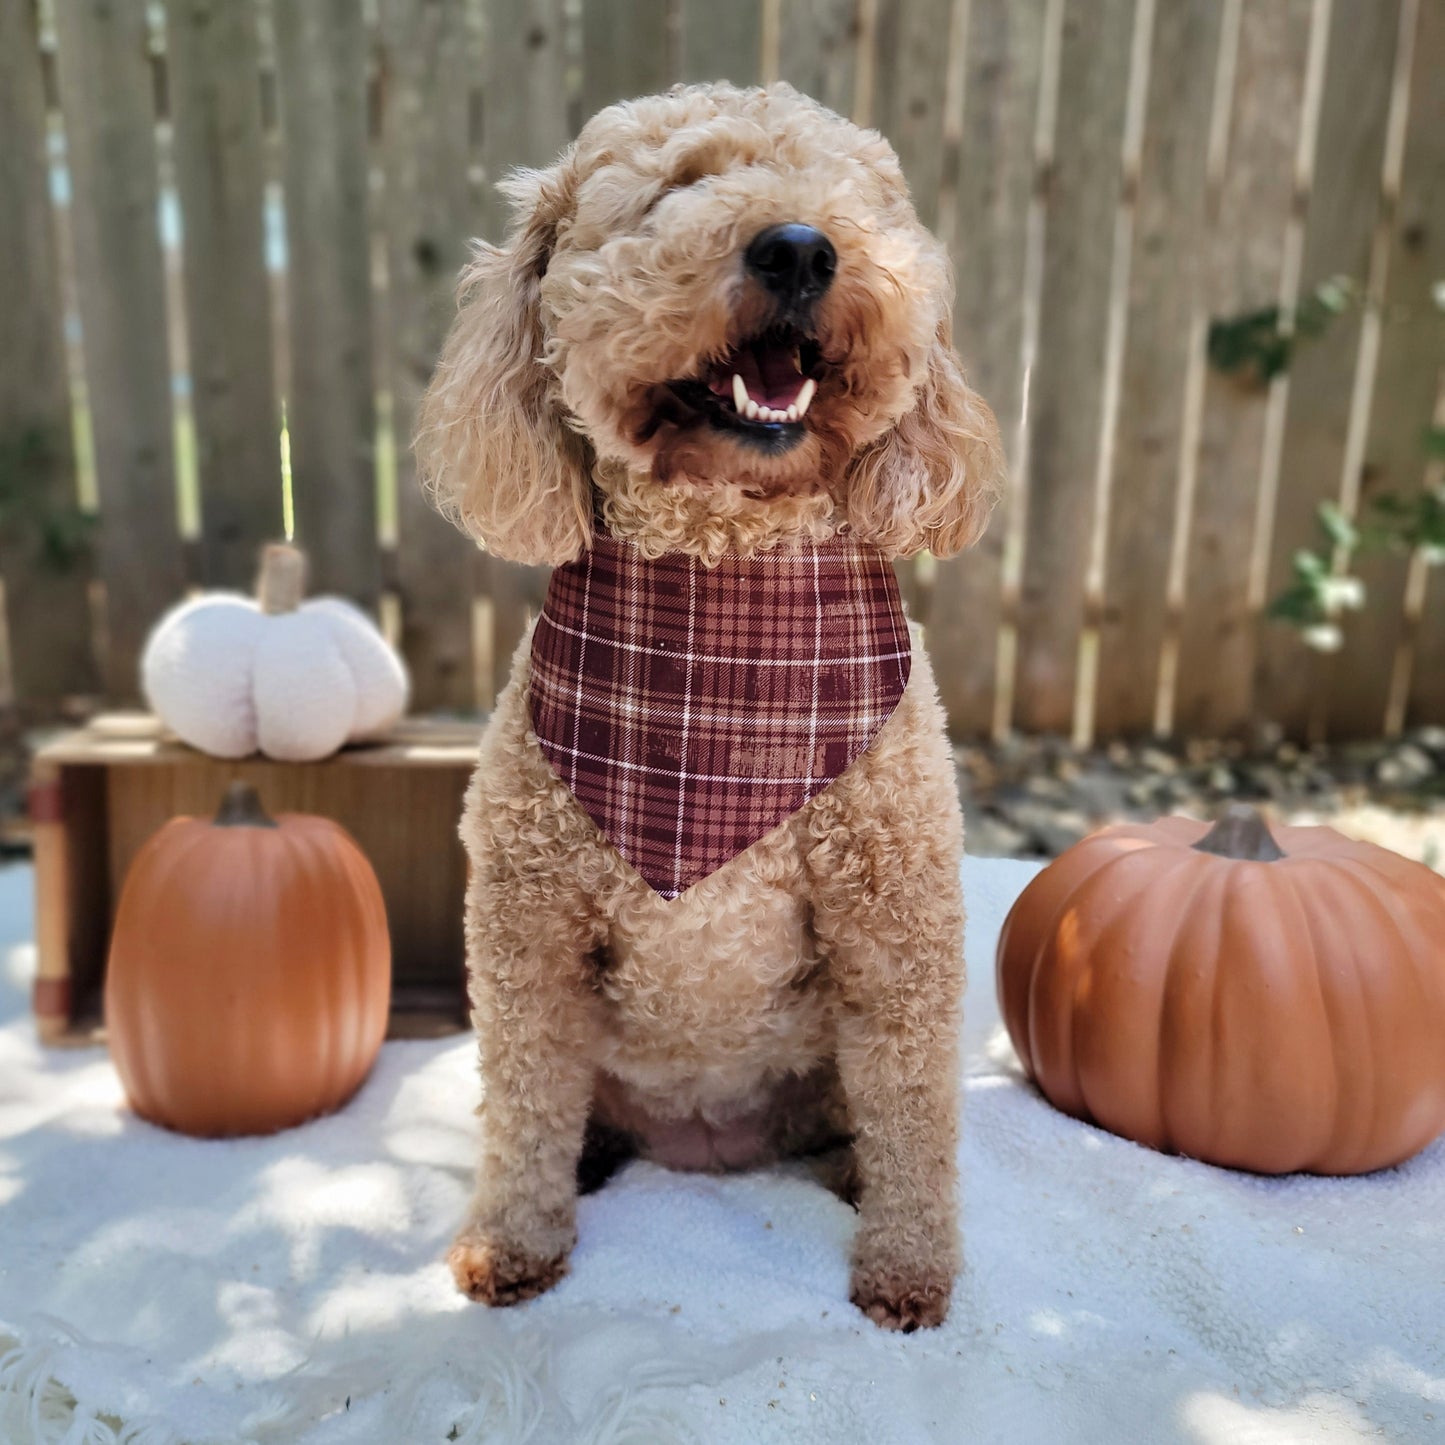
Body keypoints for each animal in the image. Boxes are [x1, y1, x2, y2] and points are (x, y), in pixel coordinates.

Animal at [419, 82, 1005, 1329]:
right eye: (675, 189)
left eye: (851, 198)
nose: (798, 247)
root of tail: (706, 1146)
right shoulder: (525, 925)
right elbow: (525, 1106)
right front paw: (512, 1240)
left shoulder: (896, 920)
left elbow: (914, 1113)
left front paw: (908, 1266)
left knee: (861, 1117)